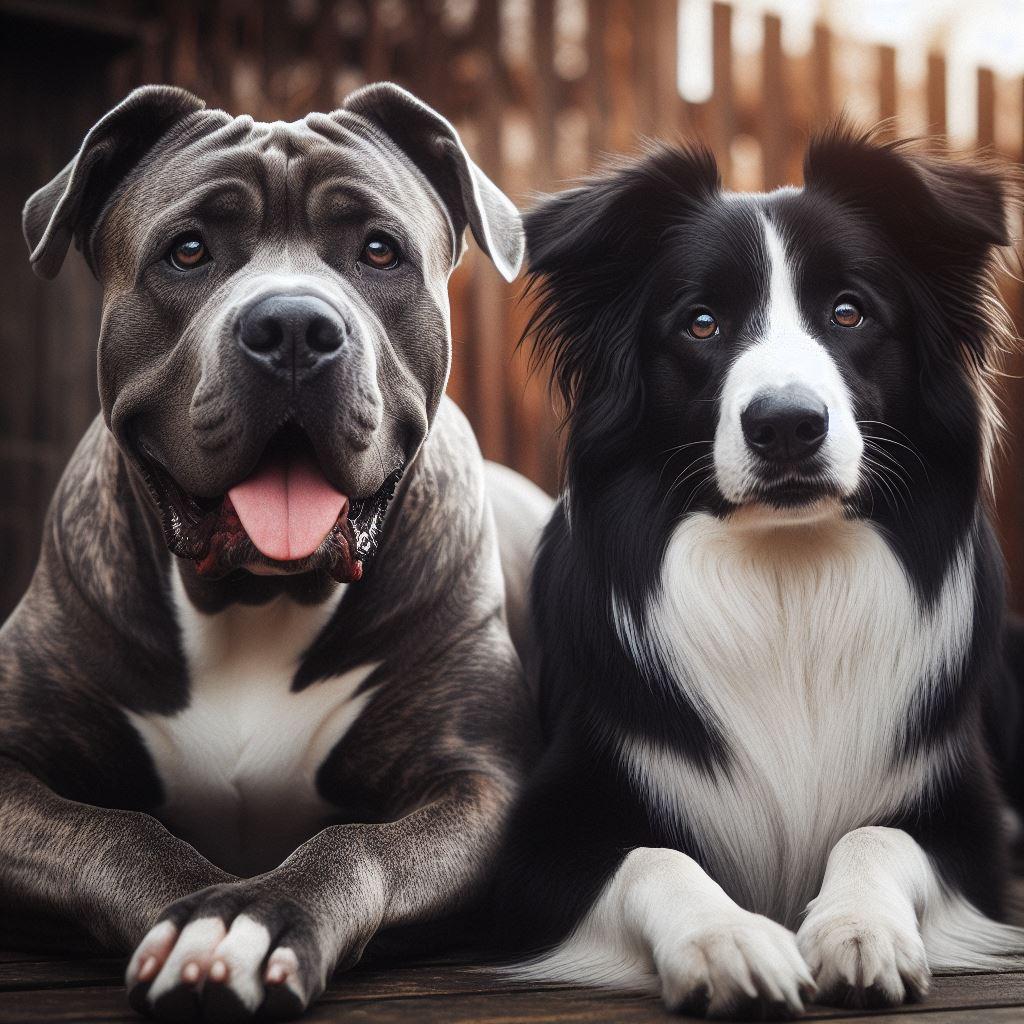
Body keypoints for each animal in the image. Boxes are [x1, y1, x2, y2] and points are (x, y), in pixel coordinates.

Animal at [0, 83, 552, 1019]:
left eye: (378, 250)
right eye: (188, 250)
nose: (294, 324)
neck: (255, 600)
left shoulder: (479, 787)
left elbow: (356, 847)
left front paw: (257, 916)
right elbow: (112, 829)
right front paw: (200, 912)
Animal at [495, 128, 1024, 1015]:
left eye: (849, 311)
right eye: (702, 324)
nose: (786, 424)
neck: (786, 577)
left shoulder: (966, 830)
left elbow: (877, 834)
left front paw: (858, 929)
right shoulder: (534, 843)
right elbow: (656, 857)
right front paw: (728, 942)